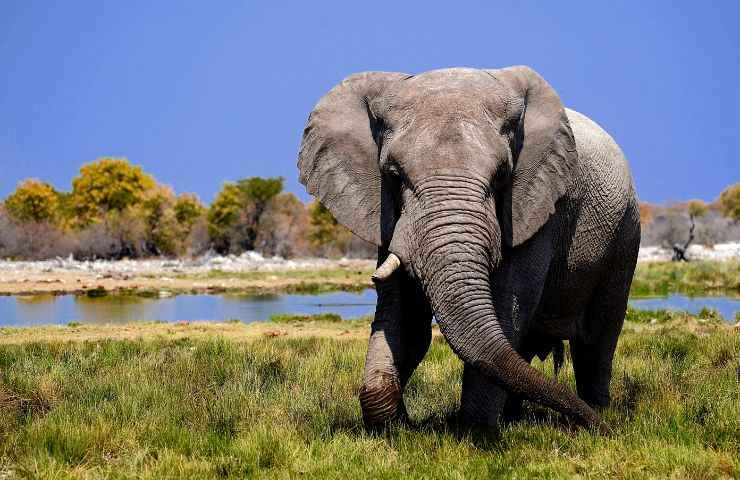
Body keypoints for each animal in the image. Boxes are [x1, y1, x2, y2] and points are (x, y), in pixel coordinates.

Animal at [298, 65, 640, 430]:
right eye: (394, 175)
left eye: (502, 175)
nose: (593, 427)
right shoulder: (387, 216)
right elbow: (405, 315)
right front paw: (397, 426)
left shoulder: (540, 206)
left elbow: (507, 305)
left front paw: (476, 430)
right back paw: (520, 417)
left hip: (625, 234)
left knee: (597, 338)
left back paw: (596, 408)